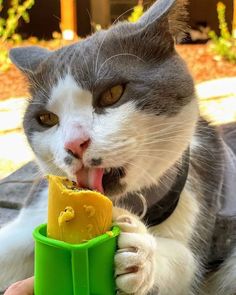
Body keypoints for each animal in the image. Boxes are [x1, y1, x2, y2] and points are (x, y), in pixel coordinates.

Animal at [0, 0, 236, 294]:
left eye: (112, 94)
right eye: (46, 119)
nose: (74, 144)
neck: (128, 202)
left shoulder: (199, 201)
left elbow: (185, 263)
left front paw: (140, 254)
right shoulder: (32, 215)